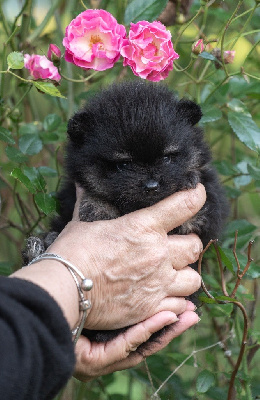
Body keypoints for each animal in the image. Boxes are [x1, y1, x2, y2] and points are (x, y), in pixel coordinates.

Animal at [24, 80, 228, 344]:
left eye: (167, 157)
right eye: (123, 164)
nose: (152, 185)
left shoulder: (209, 207)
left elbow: (199, 208)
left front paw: (187, 178)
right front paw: (97, 205)